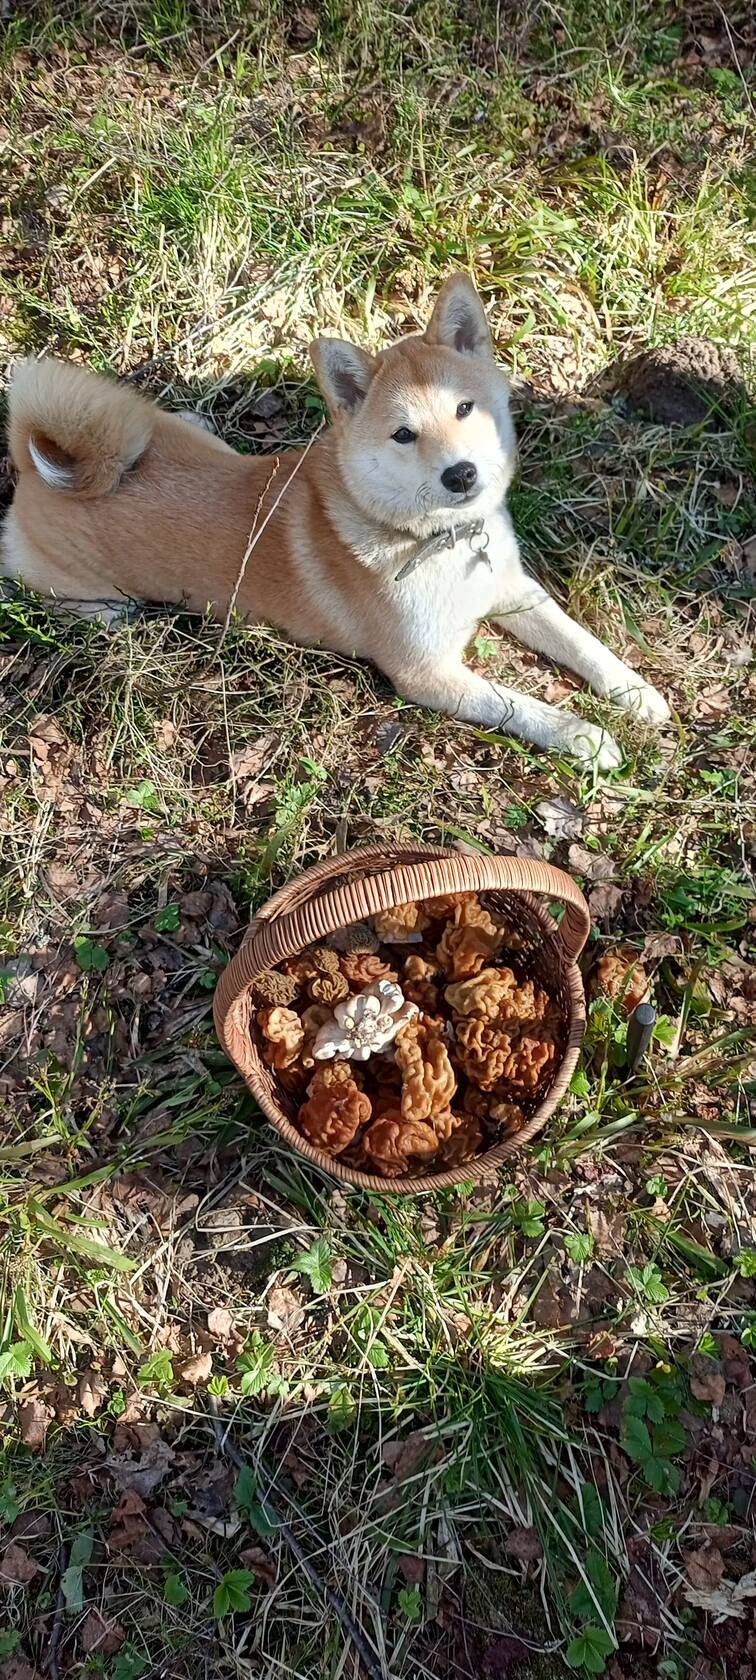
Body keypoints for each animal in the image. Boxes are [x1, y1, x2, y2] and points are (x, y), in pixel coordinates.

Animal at [2, 274, 670, 766]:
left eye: (465, 408)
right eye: (404, 435)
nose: (461, 475)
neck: (434, 540)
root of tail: (35, 471)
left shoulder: (511, 589)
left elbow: (580, 641)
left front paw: (634, 692)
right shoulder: (428, 674)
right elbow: (520, 705)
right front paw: (584, 735)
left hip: (157, 425)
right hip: (100, 604)